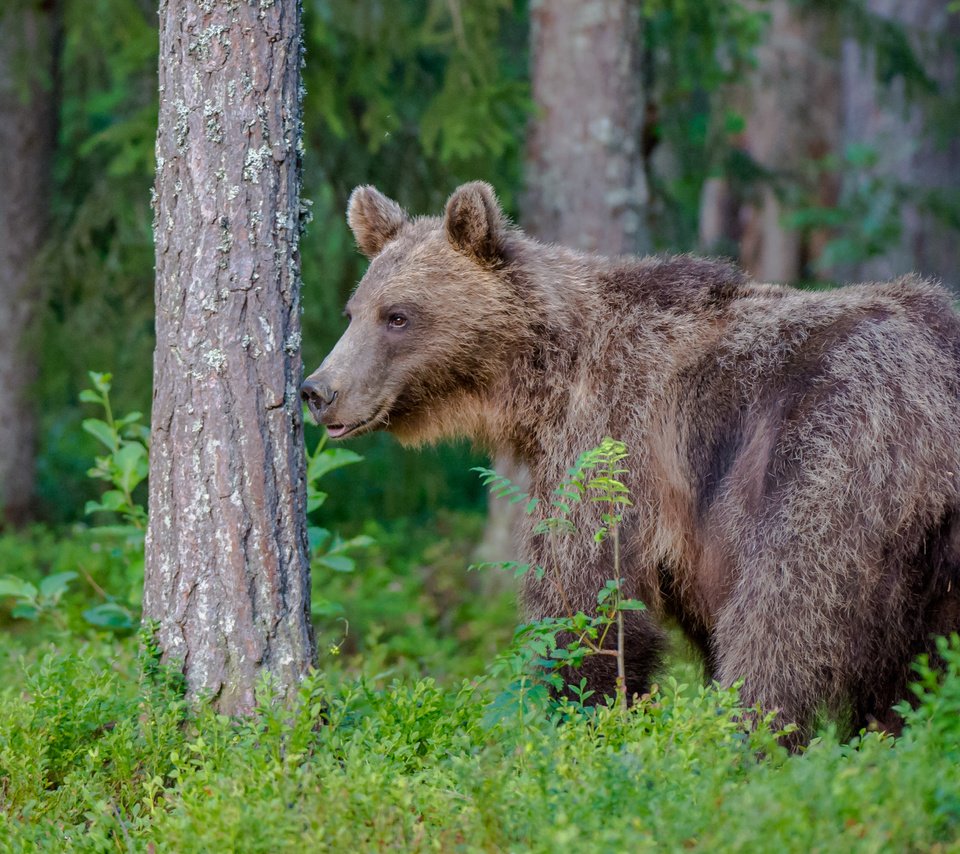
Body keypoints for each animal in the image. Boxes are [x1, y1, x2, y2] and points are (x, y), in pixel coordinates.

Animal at [304, 182, 960, 744]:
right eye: (353, 311)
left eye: (398, 315)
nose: (319, 390)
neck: (543, 376)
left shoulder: (611, 439)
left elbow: (586, 599)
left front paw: (583, 717)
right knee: (921, 665)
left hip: (831, 452)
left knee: (784, 618)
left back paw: (746, 741)